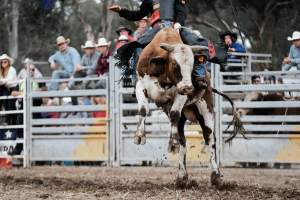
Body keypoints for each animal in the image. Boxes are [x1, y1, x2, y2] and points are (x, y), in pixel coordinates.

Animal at [132, 28, 245, 186]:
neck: (164, 75)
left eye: (192, 66)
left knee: (209, 139)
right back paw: (182, 177)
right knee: (183, 142)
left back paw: (216, 176)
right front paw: (139, 136)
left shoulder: (181, 95)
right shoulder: (141, 84)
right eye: (175, 64)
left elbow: (174, 113)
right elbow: (143, 110)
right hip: (183, 118)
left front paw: (172, 143)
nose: (188, 87)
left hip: (206, 109)